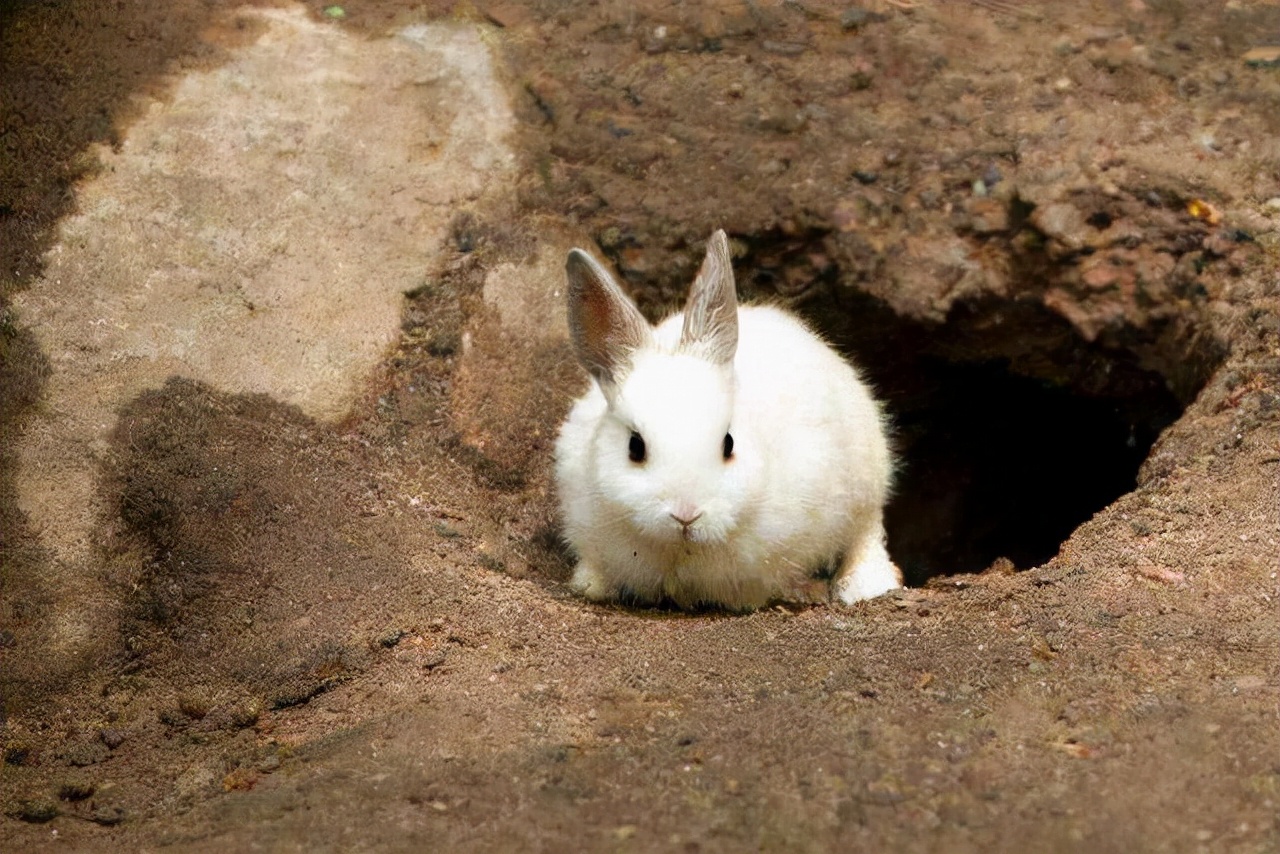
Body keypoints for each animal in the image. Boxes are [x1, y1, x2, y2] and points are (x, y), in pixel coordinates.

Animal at [555, 230, 906, 612]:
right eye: (635, 447)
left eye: (729, 443)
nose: (686, 514)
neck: (681, 551)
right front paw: (589, 585)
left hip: (867, 480)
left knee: (866, 535)